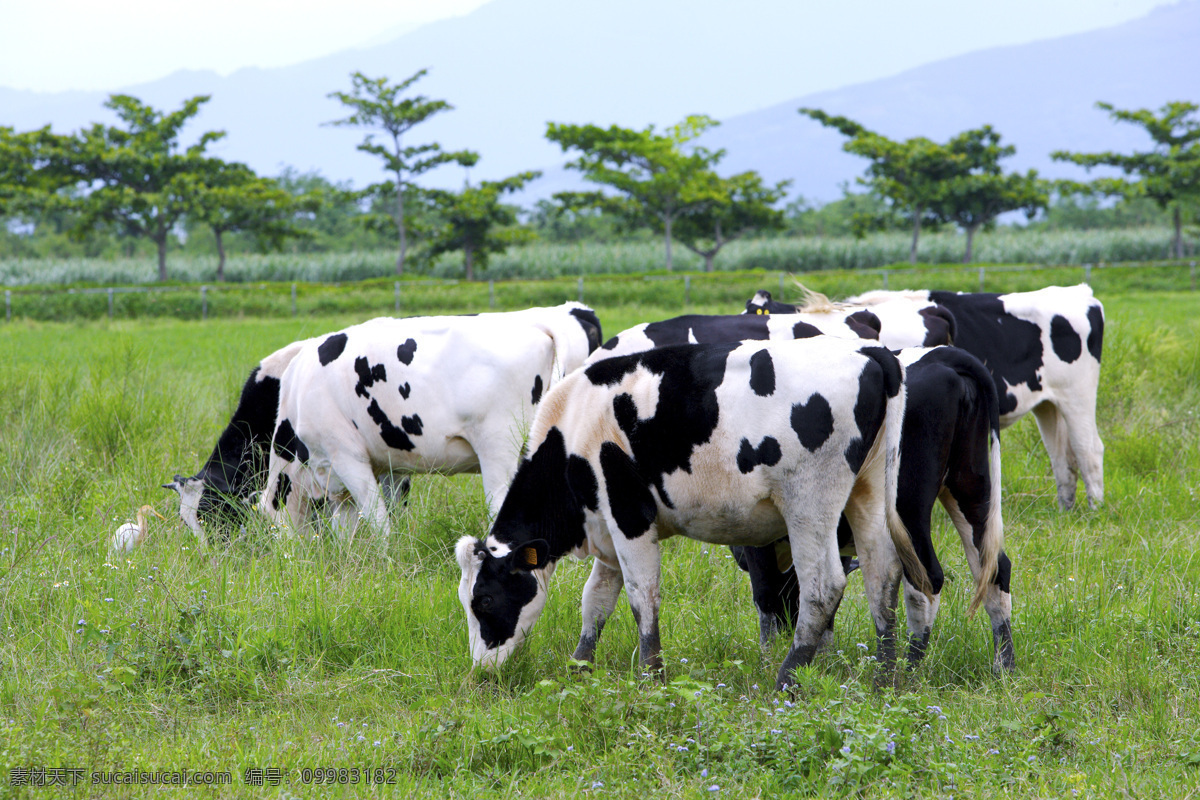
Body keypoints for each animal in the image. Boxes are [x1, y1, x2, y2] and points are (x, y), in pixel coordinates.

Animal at [259, 303, 604, 542]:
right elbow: (349, 527)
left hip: (499, 447)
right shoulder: (353, 476)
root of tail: (539, 320)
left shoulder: (346, 456)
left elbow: (377, 518)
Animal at [453, 335, 931, 690]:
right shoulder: (606, 531)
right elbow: (596, 601)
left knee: (823, 586)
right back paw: (884, 678)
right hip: (867, 494)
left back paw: (786, 678)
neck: (574, 427)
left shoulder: (630, 518)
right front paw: (580, 667)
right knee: (882, 575)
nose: (480, 671)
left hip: (810, 504)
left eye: (485, 599)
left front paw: (651, 677)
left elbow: (641, 596)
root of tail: (870, 352)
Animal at [844, 287, 1104, 510]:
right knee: (1061, 457)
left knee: (1088, 450)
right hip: (1048, 403)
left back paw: (1094, 511)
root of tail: (1078, 291)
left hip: (1077, 393)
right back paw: (1065, 511)